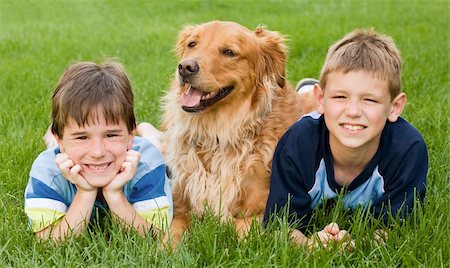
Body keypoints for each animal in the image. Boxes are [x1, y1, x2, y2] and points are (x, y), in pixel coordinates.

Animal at [143, 21, 312, 245]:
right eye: (192, 44)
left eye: (229, 52)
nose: (185, 67)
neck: (217, 134)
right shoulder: (180, 203)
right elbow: (173, 230)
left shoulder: (276, 211)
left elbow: (236, 226)